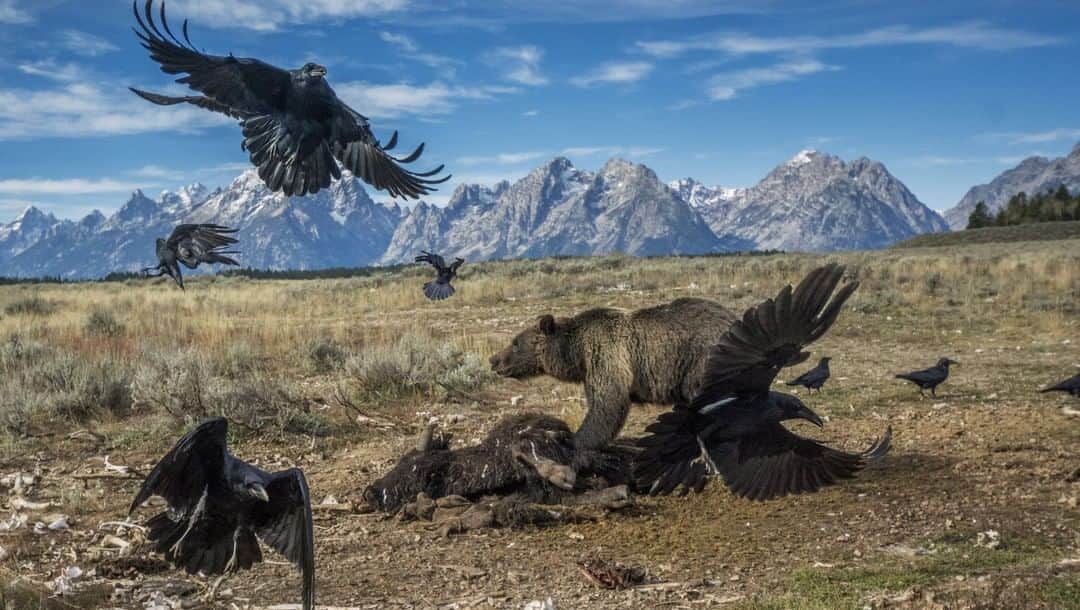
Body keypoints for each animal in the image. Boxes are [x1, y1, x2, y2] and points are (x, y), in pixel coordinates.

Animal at [489, 297, 737, 453]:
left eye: (515, 343)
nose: (493, 360)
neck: (574, 351)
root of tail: (732, 318)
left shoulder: (604, 353)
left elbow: (608, 401)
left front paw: (571, 438)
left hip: (702, 360)